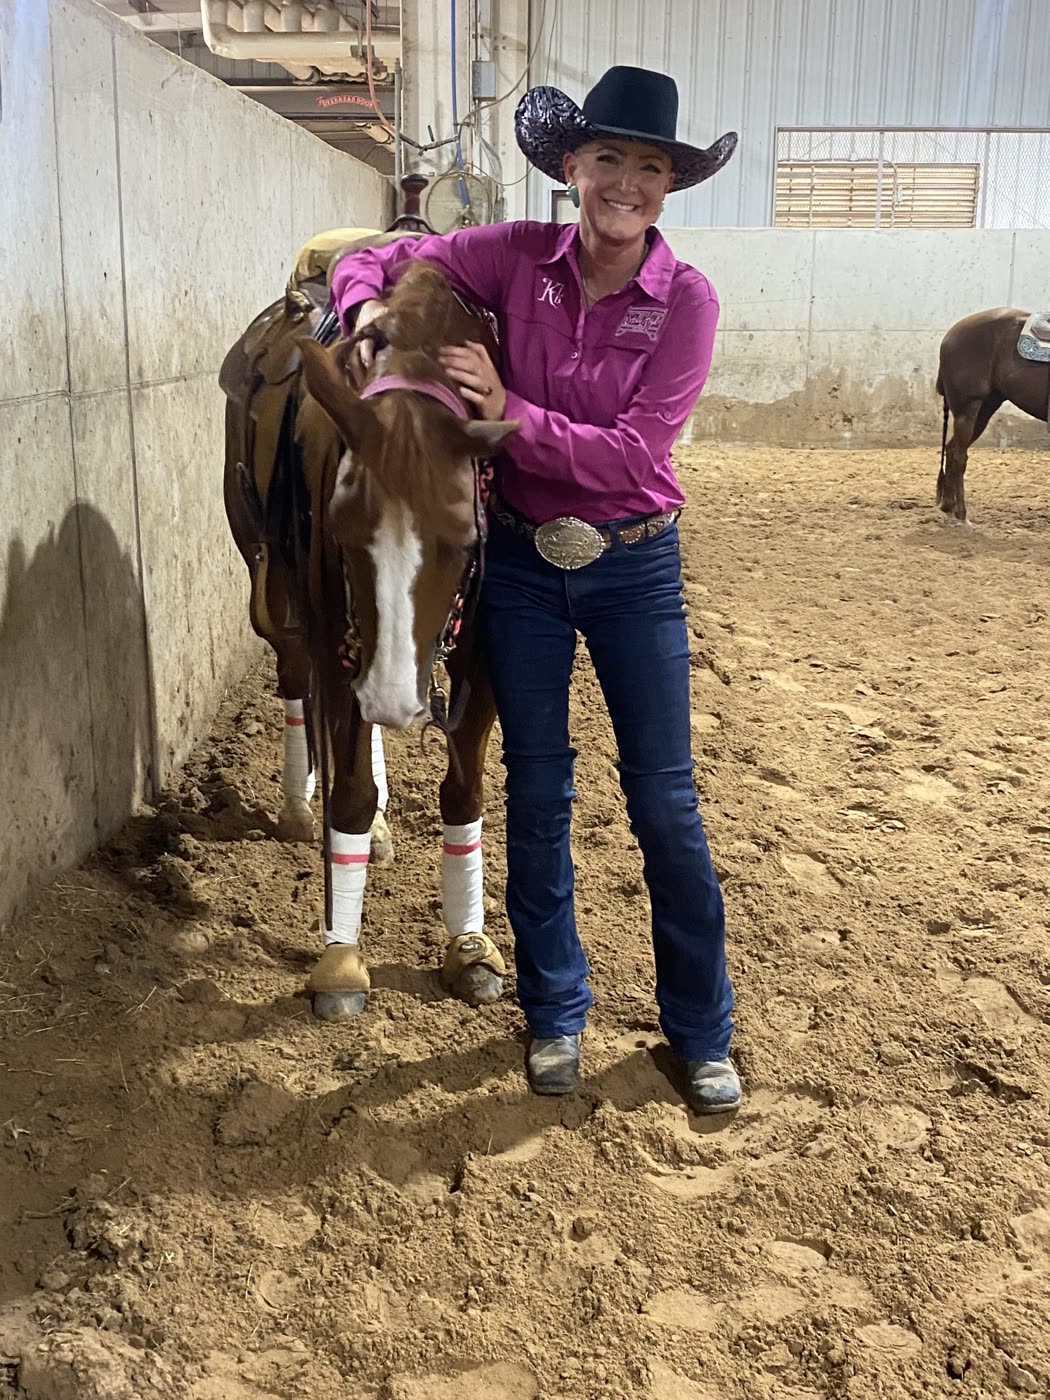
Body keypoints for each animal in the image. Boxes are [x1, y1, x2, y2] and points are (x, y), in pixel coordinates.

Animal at [220, 235, 517, 1021]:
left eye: (462, 541)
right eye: (345, 529)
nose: (393, 699)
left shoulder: (484, 648)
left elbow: (464, 792)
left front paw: (469, 947)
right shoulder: (335, 631)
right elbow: (347, 791)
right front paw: (341, 960)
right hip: (276, 586)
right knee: (298, 684)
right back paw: (300, 810)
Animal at [936, 308, 1050, 524]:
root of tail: (950, 335)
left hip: (985, 409)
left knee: (952, 449)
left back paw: (949, 507)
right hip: (968, 408)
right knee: (960, 456)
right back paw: (961, 515)